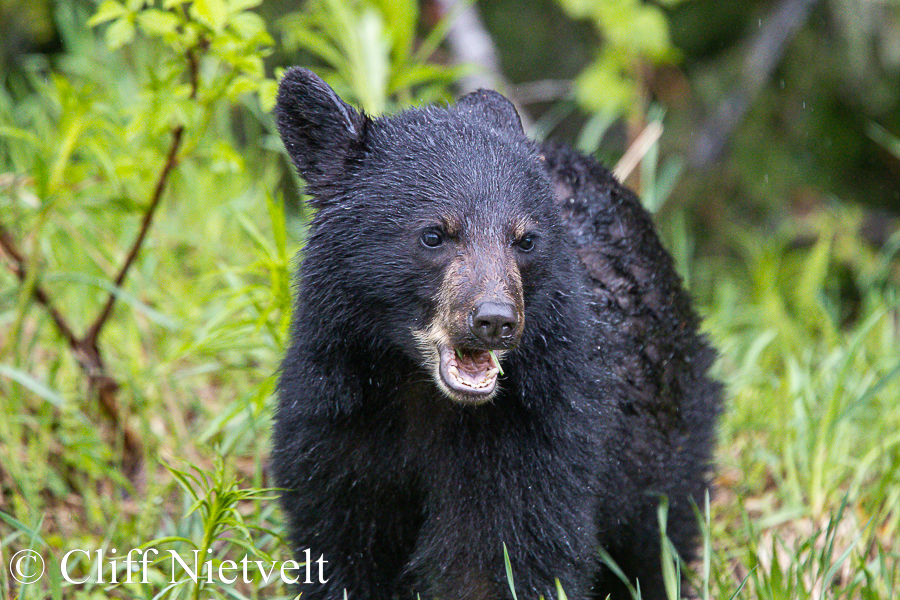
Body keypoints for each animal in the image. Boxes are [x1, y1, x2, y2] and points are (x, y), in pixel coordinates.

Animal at [271, 67, 722, 600]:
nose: (495, 319)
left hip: (670, 435)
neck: (417, 394)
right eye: (434, 235)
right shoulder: (335, 421)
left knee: (657, 542)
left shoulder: (537, 433)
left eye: (525, 240)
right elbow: (342, 544)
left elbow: (505, 555)